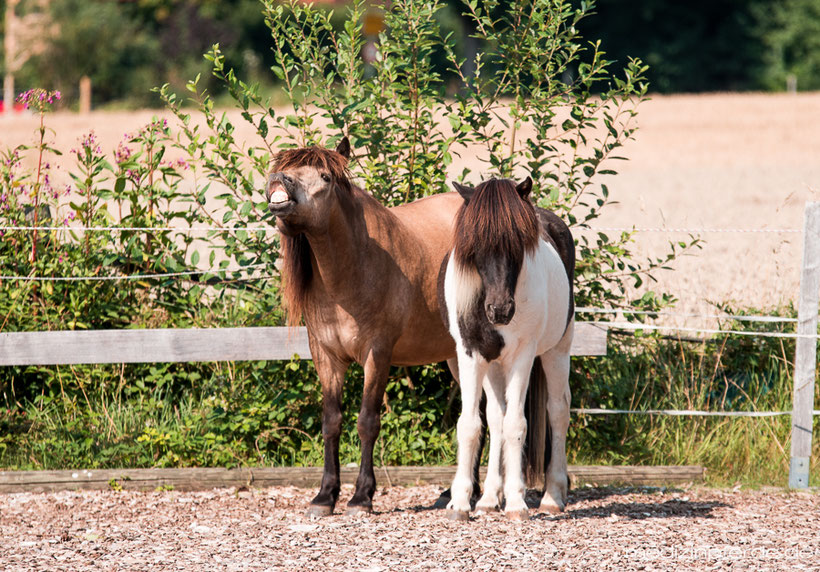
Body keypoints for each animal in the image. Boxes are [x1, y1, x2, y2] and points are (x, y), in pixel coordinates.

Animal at [438, 177, 572, 520]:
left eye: (518, 244)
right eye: (475, 246)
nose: (500, 310)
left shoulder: (523, 356)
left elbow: (516, 425)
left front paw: (515, 502)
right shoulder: (471, 356)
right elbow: (471, 425)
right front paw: (461, 502)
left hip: (557, 351)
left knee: (558, 411)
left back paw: (553, 496)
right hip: (493, 367)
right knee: (495, 417)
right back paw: (488, 498)